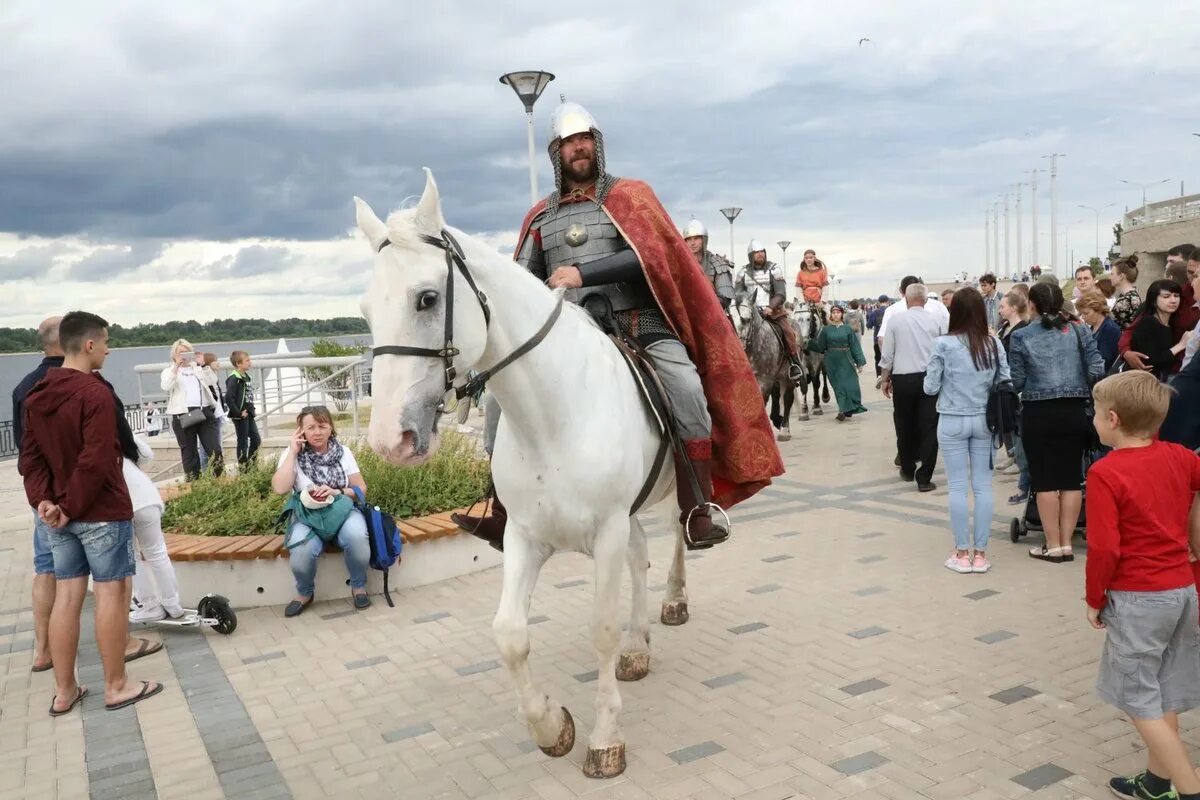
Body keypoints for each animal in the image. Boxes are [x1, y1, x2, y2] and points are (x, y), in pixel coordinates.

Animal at [355, 172, 696, 777]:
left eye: (427, 298)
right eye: (367, 312)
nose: (390, 440)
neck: (554, 415)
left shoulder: (607, 530)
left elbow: (600, 629)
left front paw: (605, 739)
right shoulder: (523, 535)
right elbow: (510, 634)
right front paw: (552, 726)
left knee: (679, 534)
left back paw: (675, 599)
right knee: (641, 558)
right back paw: (638, 647)